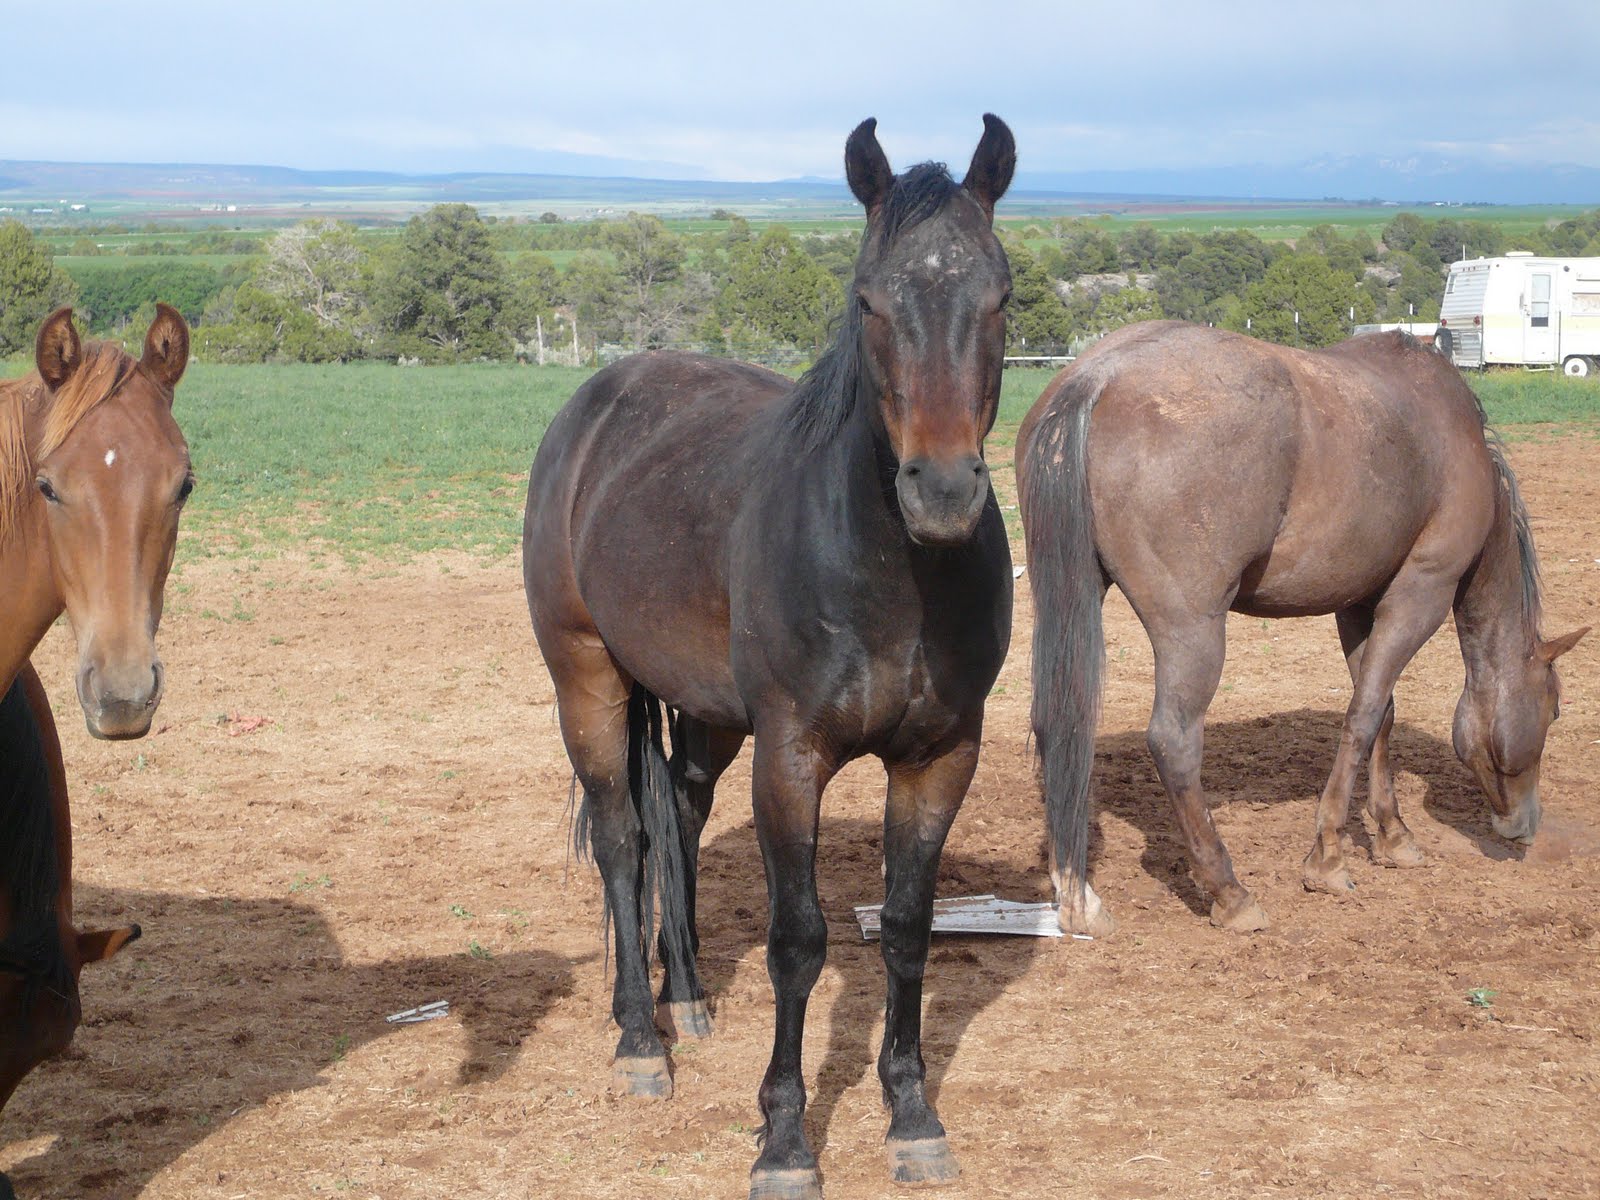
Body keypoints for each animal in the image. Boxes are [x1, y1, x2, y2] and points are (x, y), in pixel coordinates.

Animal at [523, 116, 1015, 1199]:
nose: (942, 492)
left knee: (677, 820)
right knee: (622, 839)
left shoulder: (940, 758)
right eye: (869, 301)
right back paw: (639, 1040)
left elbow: (908, 927)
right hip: (587, 679)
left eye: (1000, 296)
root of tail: (594, 404)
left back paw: (687, 996)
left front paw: (913, 1117)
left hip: (708, 714)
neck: (888, 575)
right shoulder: (793, 756)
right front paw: (785, 1139)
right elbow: (799, 940)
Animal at [1016, 320, 1587, 935]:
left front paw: (1392, 835)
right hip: (1193, 631)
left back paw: (1077, 895)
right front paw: (1330, 856)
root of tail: (1096, 377)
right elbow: (1362, 718)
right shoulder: (1419, 595)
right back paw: (1230, 891)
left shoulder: (1358, 605)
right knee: (1173, 741)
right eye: (1554, 709)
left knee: (1058, 723)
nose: (1526, 826)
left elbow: (1381, 714)